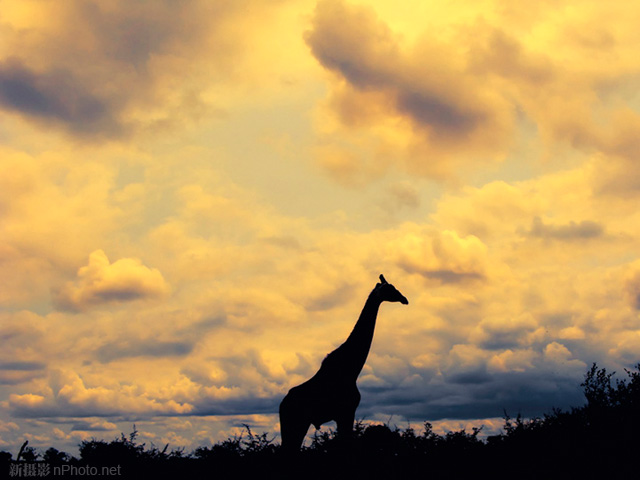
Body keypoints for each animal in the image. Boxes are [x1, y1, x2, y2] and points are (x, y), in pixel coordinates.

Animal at [280, 272, 410, 452]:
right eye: (390, 289)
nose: (405, 299)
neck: (351, 369)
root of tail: (281, 405)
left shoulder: (343, 415)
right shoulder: (346, 412)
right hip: (295, 424)